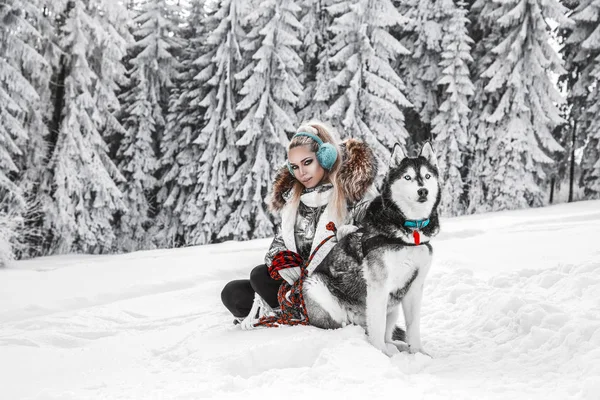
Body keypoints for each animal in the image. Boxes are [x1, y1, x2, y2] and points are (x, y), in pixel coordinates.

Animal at [304, 142, 440, 354]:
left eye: (427, 176)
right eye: (407, 177)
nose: (423, 191)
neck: (409, 232)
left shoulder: (415, 287)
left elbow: (413, 327)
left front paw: (419, 353)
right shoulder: (378, 287)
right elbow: (377, 327)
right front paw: (381, 354)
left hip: (392, 307)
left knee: (387, 332)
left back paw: (396, 346)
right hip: (316, 286)